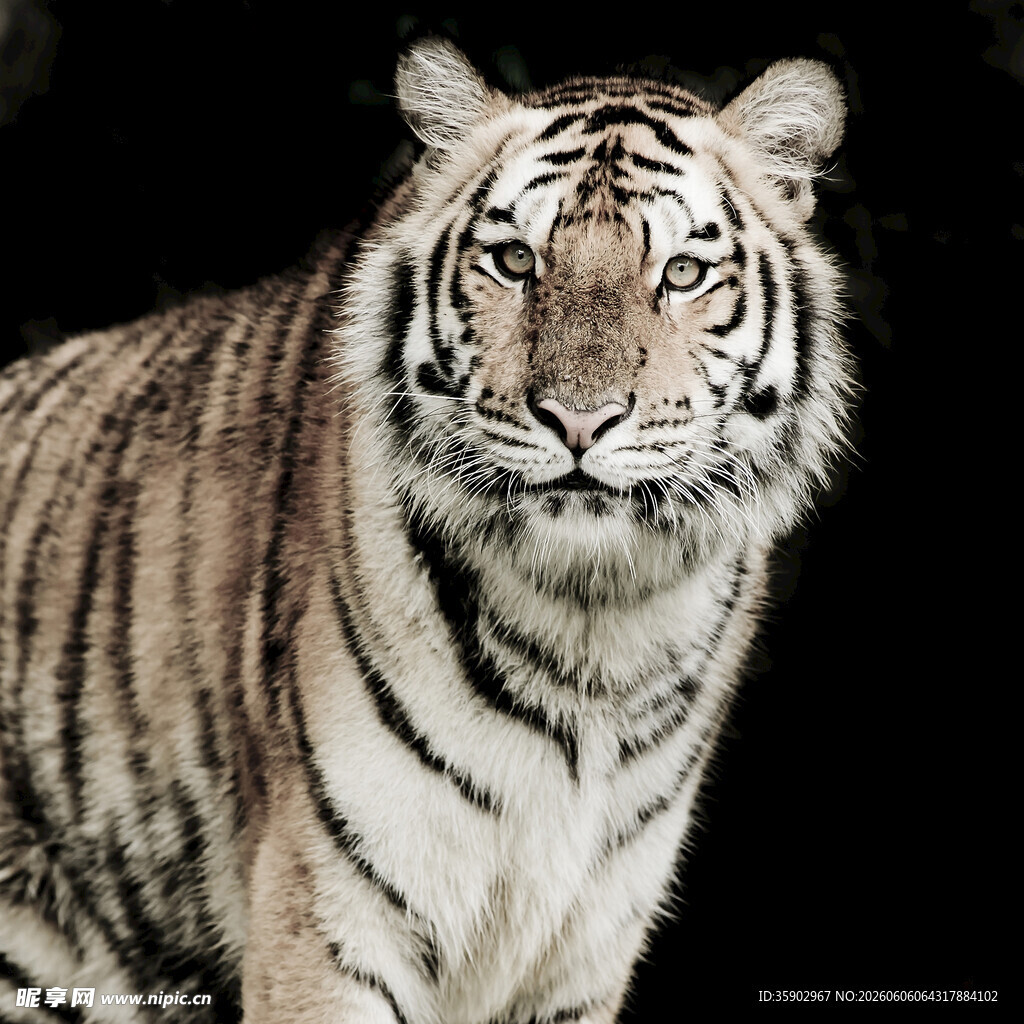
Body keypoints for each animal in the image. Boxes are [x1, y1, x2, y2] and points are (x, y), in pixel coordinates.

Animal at [0, 37, 852, 1024]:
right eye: (516, 261)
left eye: (681, 273)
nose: (581, 419)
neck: (594, 631)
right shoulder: (330, 917)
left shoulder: (586, 950)